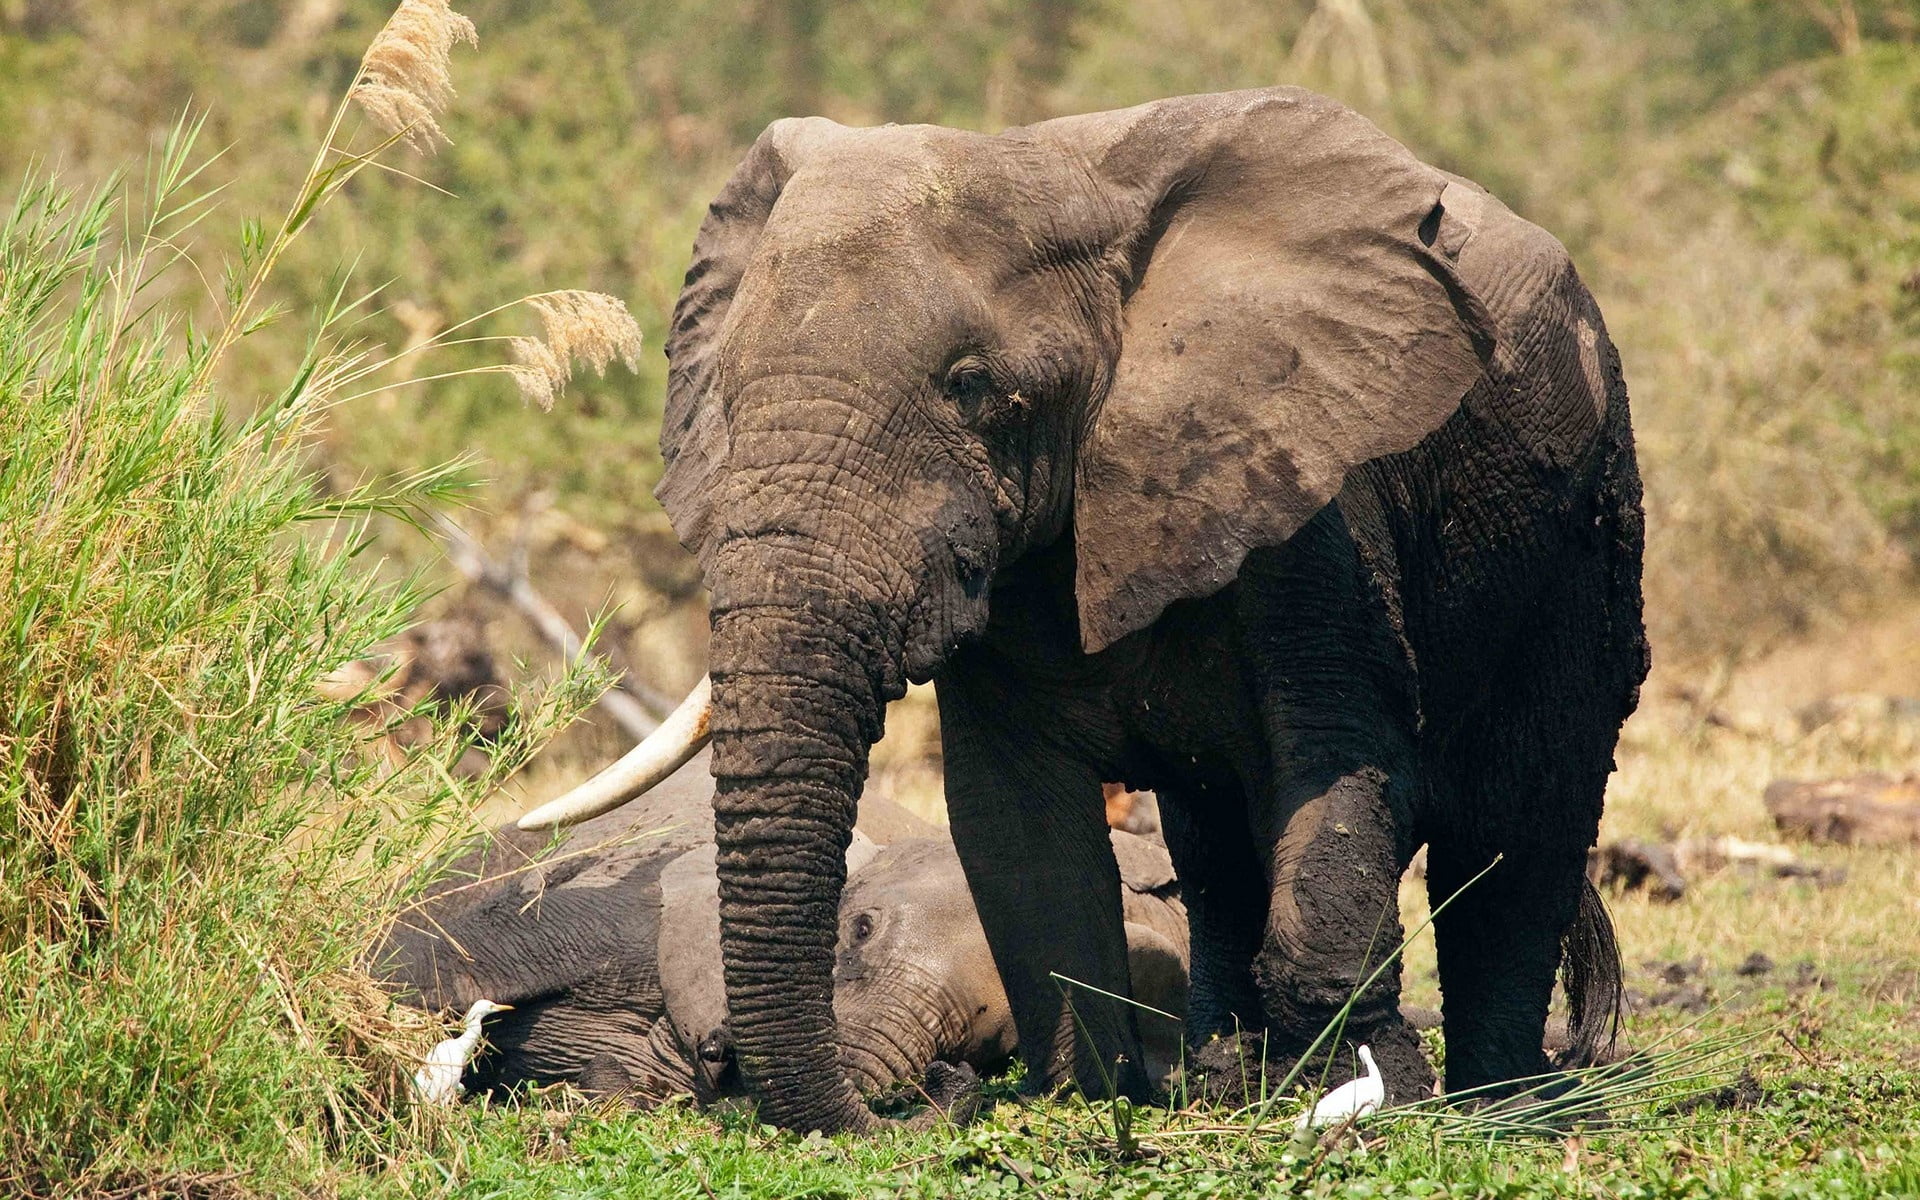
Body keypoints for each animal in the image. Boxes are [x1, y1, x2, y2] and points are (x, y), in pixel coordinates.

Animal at [520, 86, 1646, 1131]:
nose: (927, 1099)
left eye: (972, 387)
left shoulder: (1315, 496)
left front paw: (1372, 1100)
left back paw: (1498, 1101)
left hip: (1588, 522)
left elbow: (1340, 778)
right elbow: (1016, 827)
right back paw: (1229, 1079)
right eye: (723, 392)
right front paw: (1093, 1098)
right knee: (1216, 840)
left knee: (1520, 823)